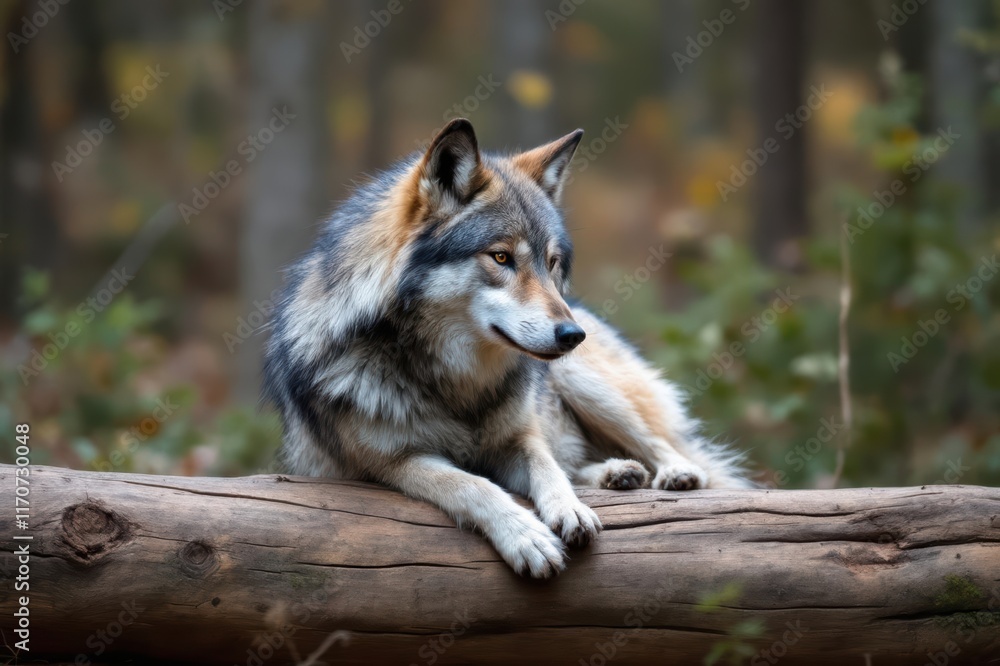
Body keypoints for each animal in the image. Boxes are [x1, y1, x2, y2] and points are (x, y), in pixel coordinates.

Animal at [263, 118, 749, 578]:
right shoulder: (392, 464)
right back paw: (619, 473)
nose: (572, 335)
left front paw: (569, 508)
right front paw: (526, 537)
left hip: (584, 383)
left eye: (551, 263)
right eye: (500, 257)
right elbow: (472, 485)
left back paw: (670, 473)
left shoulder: (520, 435)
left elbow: (546, 465)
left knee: (660, 445)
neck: (458, 382)